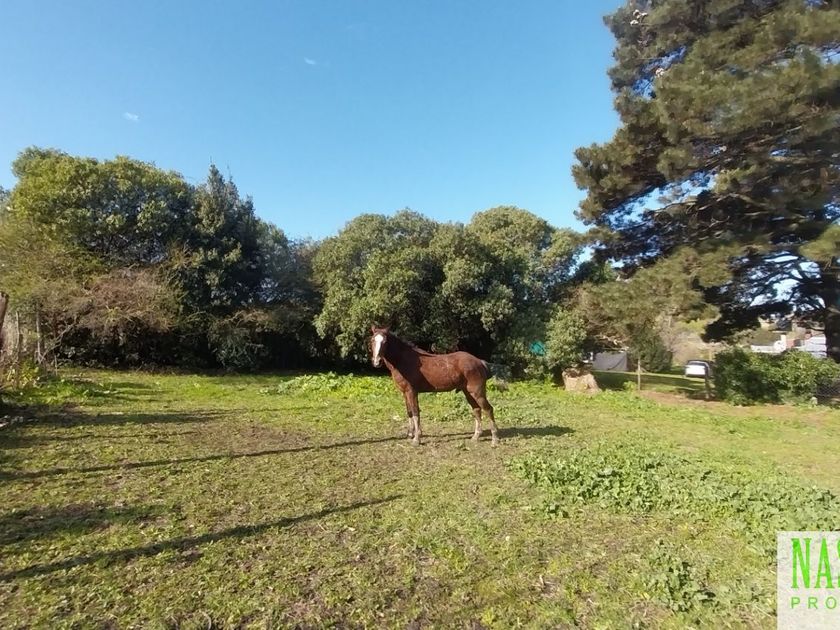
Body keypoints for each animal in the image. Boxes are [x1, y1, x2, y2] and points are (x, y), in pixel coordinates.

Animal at [370, 326, 499, 446]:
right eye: (372, 340)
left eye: (385, 341)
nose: (377, 362)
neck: (403, 360)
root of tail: (479, 361)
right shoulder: (405, 393)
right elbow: (409, 412)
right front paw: (410, 434)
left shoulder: (412, 392)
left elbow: (416, 412)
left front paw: (416, 439)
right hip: (467, 392)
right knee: (476, 410)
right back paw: (475, 437)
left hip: (477, 392)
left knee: (488, 409)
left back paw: (494, 439)